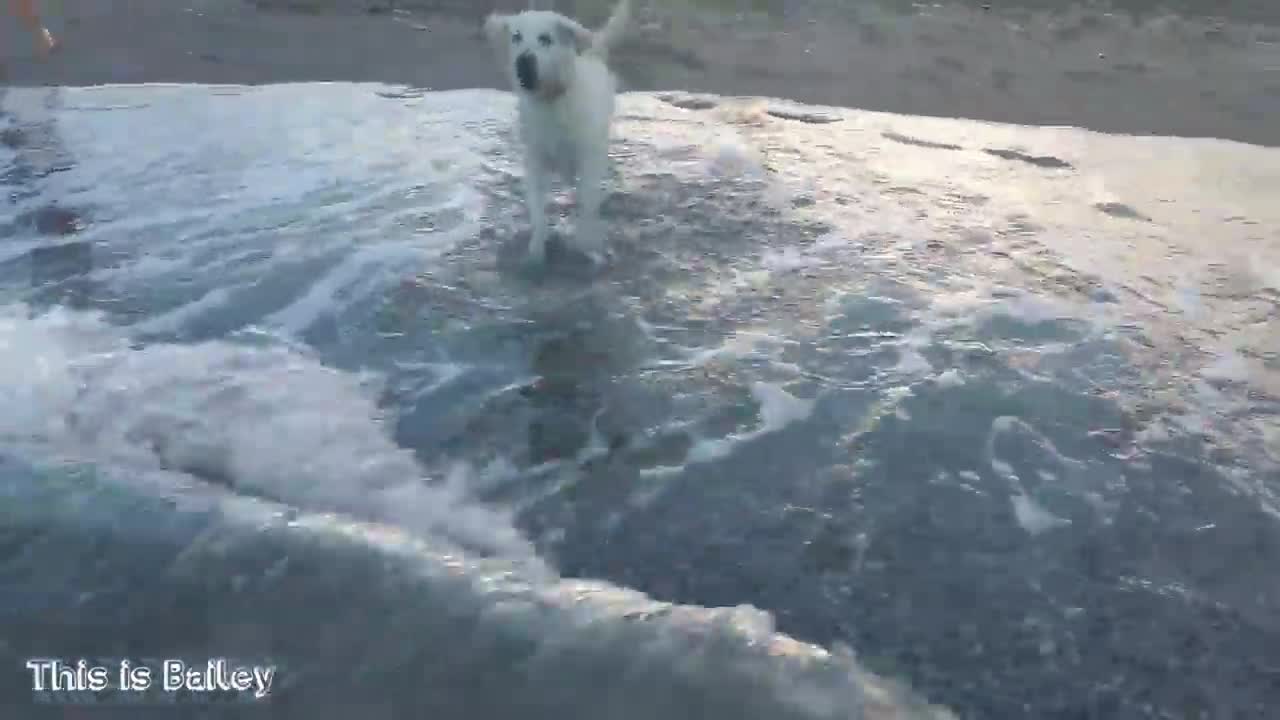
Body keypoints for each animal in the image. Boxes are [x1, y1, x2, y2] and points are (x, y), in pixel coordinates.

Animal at [481, 0, 632, 263]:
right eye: (516, 36)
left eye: (545, 39)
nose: (524, 62)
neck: (551, 103)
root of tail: (592, 56)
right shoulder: (535, 161)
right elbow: (538, 209)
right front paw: (537, 248)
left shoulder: (588, 160)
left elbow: (587, 202)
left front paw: (586, 243)